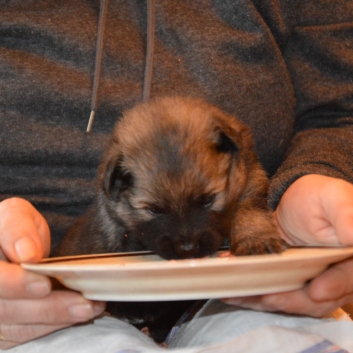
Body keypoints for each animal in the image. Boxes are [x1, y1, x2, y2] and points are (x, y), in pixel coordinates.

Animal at [56, 96, 284, 258]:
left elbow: (248, 209)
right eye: (155, 210)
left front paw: (254, 238)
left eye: (208, 200)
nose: (188, 249)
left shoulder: (251, 178)